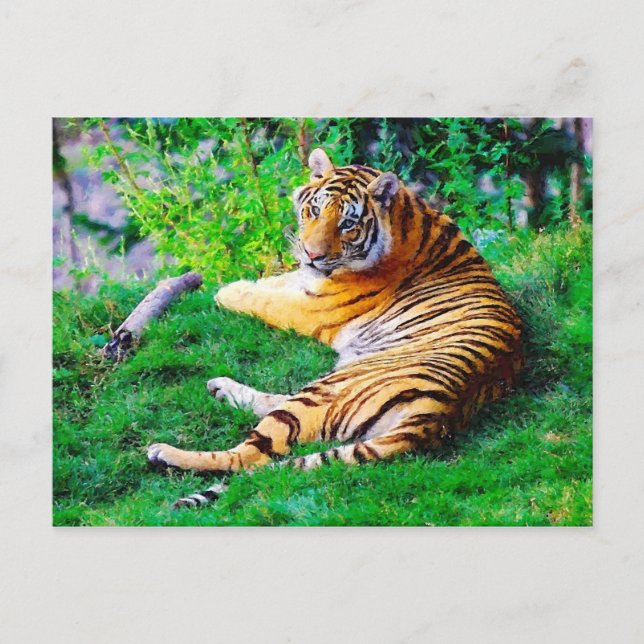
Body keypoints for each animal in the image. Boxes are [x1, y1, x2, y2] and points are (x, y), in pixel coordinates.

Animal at [147, 147, 524, 508]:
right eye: (314, 211)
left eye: (347, 224)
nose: (312, 255)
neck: (406, 216)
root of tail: (439, 413)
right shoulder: (307, 282)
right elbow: (277, 282)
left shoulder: (311, 308)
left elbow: (265, 301)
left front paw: (227, 291)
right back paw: (220, 388)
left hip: (324, 392)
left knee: (248, 457)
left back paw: (164, 452)